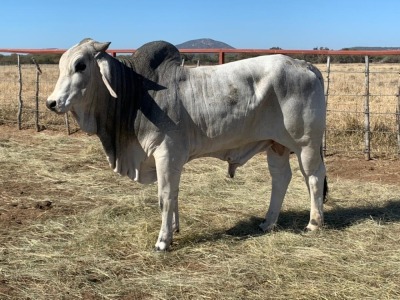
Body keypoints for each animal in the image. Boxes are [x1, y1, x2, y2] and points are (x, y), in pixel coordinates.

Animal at [47, 39, 328, 251]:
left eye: (81, 65)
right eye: (61, 66)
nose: (51, 102)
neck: (136, 93)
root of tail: (306, 65)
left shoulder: (166, 154)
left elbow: (165, 197)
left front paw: (163, 241)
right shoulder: (171, 161)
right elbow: (174, 194)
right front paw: (174, 228)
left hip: (306, 144)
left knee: (313, 177)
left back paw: (313, 224)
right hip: (275, 145)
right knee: (281, 178)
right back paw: (268, 222)